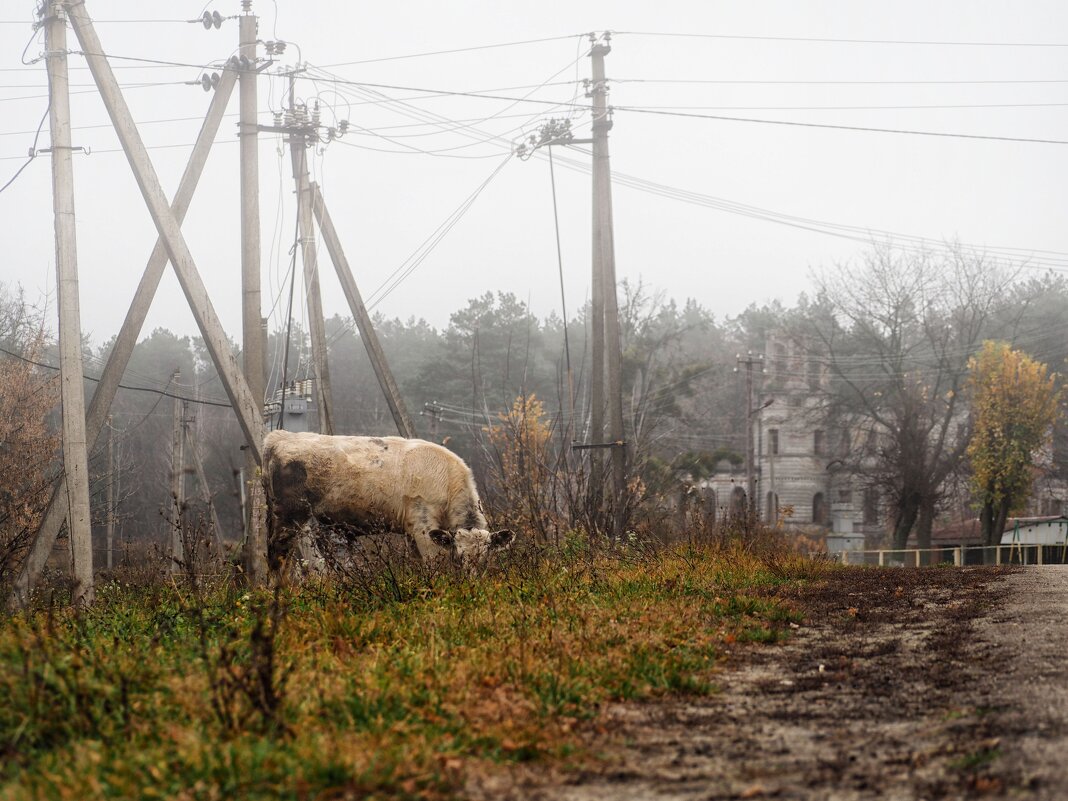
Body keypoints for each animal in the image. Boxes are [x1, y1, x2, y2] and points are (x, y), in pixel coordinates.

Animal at [257, 429, 508, 572]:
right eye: (459, 557)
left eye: (485, 560)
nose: (471, 581)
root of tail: (280, 436)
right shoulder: (423, 528)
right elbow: (433, 563)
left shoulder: (411, 532)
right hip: (289, 516)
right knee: (278, 556)